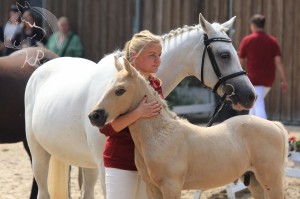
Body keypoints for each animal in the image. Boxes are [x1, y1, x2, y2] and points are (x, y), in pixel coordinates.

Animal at [88, 56, 288, 199]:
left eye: (120, 90)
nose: (94, 116)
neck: (160, 136)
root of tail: (275, 126)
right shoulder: (153, 188)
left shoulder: (171, 186)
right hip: (256, 182)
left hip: (271, 181)